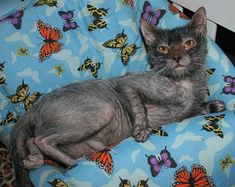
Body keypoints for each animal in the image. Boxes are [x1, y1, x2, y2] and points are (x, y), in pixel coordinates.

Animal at [9, 7, 224, 187]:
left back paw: (34, 160)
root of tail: (33, 108)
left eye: (189, 43)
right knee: (41, 140)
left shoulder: (188, 111)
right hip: (102, 111)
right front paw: (141, 129)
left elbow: (196, 110)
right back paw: (72, 163)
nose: (177, 58)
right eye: (163, 48)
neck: (184, 83)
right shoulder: (128, 84)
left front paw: (214, 106)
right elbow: (138, 105)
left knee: (32, 141)